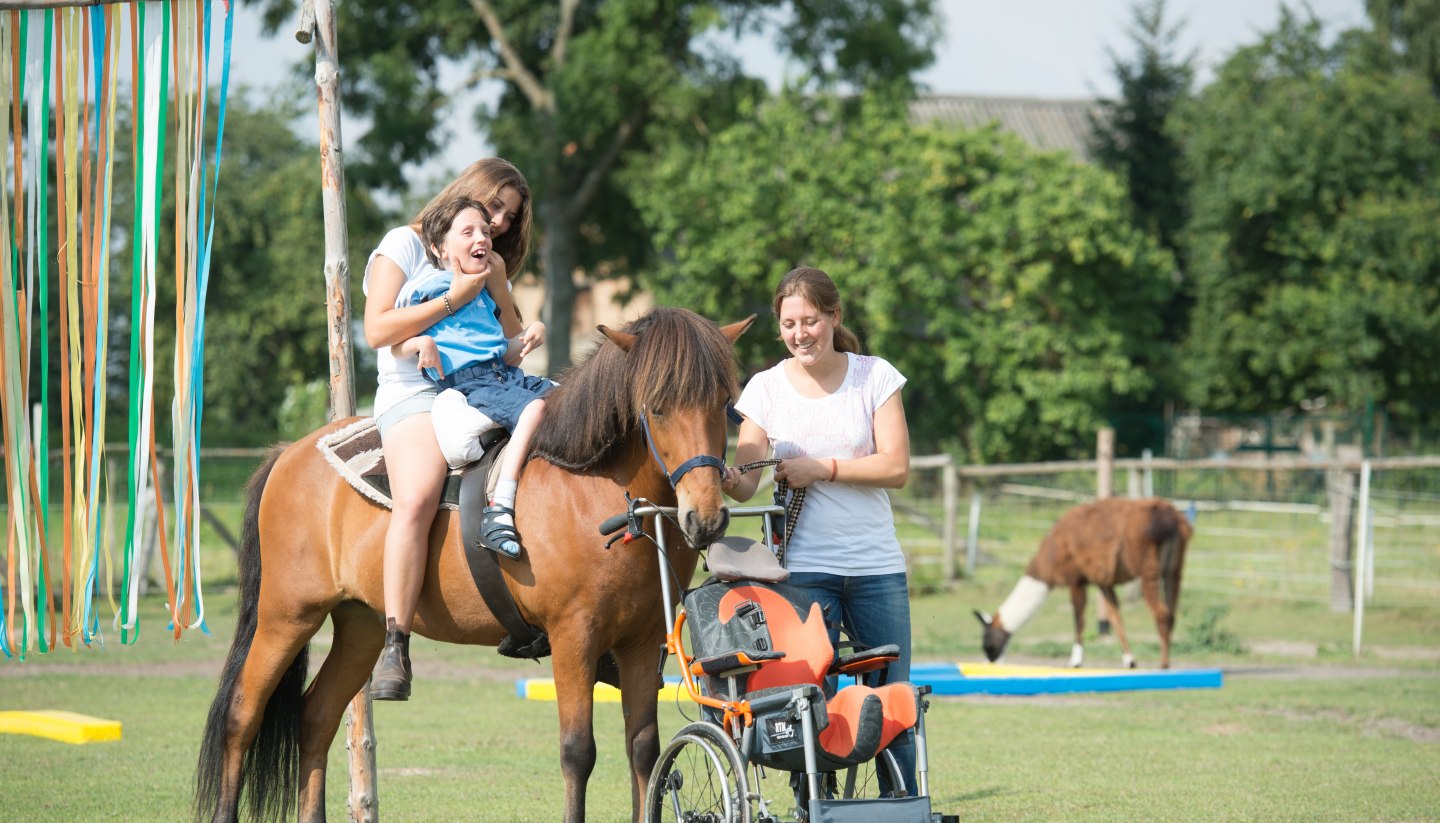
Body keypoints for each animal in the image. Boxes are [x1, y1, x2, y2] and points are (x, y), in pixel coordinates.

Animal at [192, 307, 754, 823]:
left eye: (724, 405)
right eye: (657, 408)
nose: (706, 517)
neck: (589, 483)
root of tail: (290, 453)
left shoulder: (640, 642)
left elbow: (643, 749)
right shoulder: (574, 638)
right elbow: (578, 752)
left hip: (361, 626)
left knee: (315, 718)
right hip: (286, 617)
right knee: (242, 715)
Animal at [979, 500, 1192, 667]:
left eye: (987, 642)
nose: (991, 661)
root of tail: (1172, 518)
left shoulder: (1076, 578)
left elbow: (1079, 618)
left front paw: (1075, 661)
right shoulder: (1103, 581)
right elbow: (1115, 617)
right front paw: (1129, 660)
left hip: (1148, 567)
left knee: (1162, 613)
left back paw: (1164, 664)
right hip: (1174, 568)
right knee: (1171, 611)